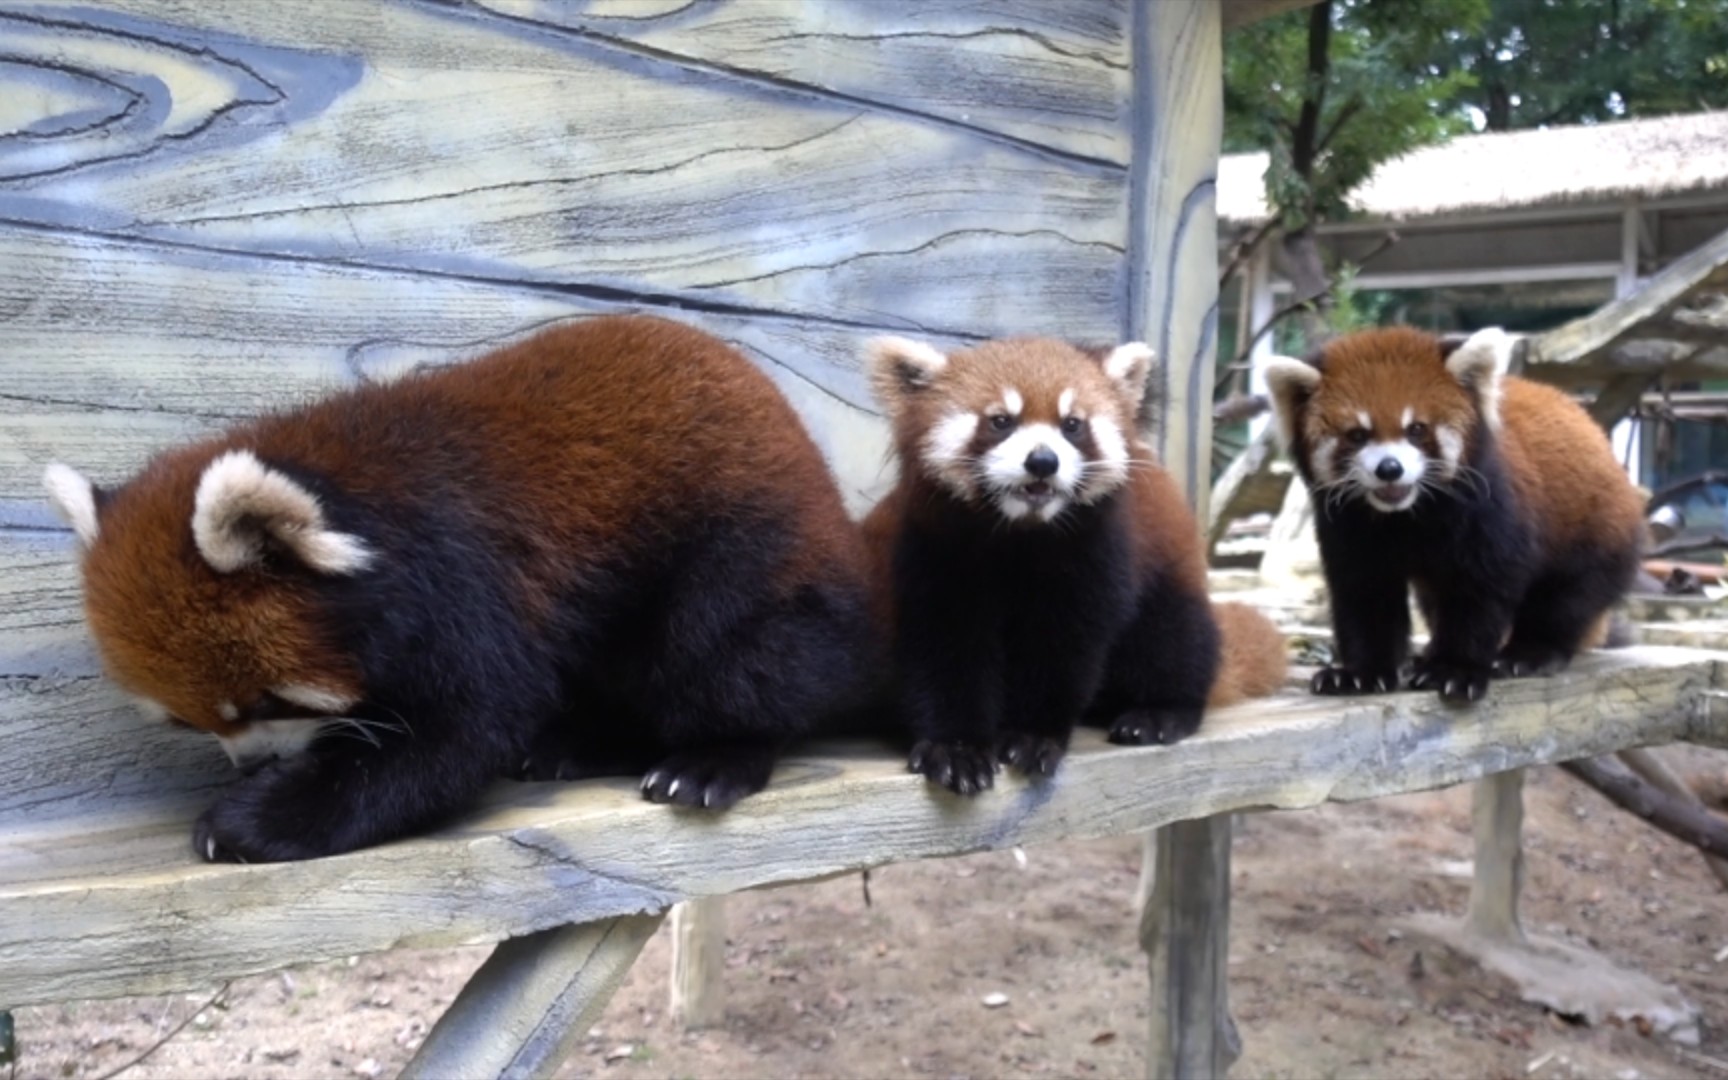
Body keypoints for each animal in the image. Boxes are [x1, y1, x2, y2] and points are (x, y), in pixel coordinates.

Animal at [43, 311, 877, 860]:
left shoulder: (462, 578)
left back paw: (714, 756)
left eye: (268, 703)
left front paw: (251, 820)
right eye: (188, 725)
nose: (252, 765)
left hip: (740, 546)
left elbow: (459, 732)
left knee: (732, 657)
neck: (359, 497)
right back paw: (580, 742)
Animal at [860, 330, 1285, 791]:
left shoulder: (1093, 561)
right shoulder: (936, 555)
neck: (1020, 535)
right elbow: (945, 652)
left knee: (1175, 641)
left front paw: (1029, 737)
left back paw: (1159, 713)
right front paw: (956, 749)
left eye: (1072, 425)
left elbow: (1062, 652)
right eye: (1001, 421)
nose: (1043, 461)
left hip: (1169, 575)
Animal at [1271, 324, 1645, 705]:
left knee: (1567, 599)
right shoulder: (1350, 528)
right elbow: (1365, 594)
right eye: (1358, 434)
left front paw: (1454, 670)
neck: (1406, 516)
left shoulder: (1489, 516)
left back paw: (1528, 653)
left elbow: (1478, 593)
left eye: (1416, 429)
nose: (1389, 469)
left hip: (1595, 532)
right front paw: (1361, 673)